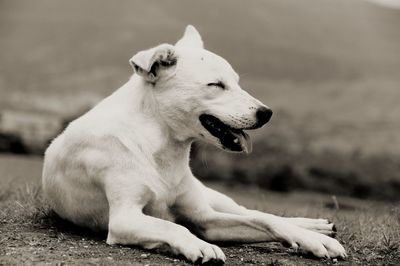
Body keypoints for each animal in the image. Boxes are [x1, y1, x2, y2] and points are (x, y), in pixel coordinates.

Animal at [41, 25, 346, 264]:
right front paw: (199, 246)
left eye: (236, 82)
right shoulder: (125, 218)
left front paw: (311, 240)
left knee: (254, 212)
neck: (160, 145)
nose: (266, 113)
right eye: (216, 85)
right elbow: (175, 228)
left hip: (215, 198)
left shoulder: (204, 217)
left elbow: (264, 219)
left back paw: (316, 229)